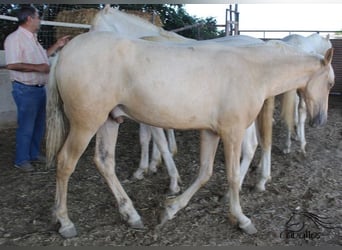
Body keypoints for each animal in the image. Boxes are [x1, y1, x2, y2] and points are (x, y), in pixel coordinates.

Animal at [45, 31, 334, 238]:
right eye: (331, 82)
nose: (320, 119)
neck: (252, 70)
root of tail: (64, 53)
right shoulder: (231, 132)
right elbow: (231, 176)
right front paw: (241, 219)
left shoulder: (210, 131)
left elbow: (205, 173)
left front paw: (170, 209)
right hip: (86, 123)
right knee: (65, 163)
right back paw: (65, 221)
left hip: (109, 121)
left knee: (105, 162)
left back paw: (131, 214)